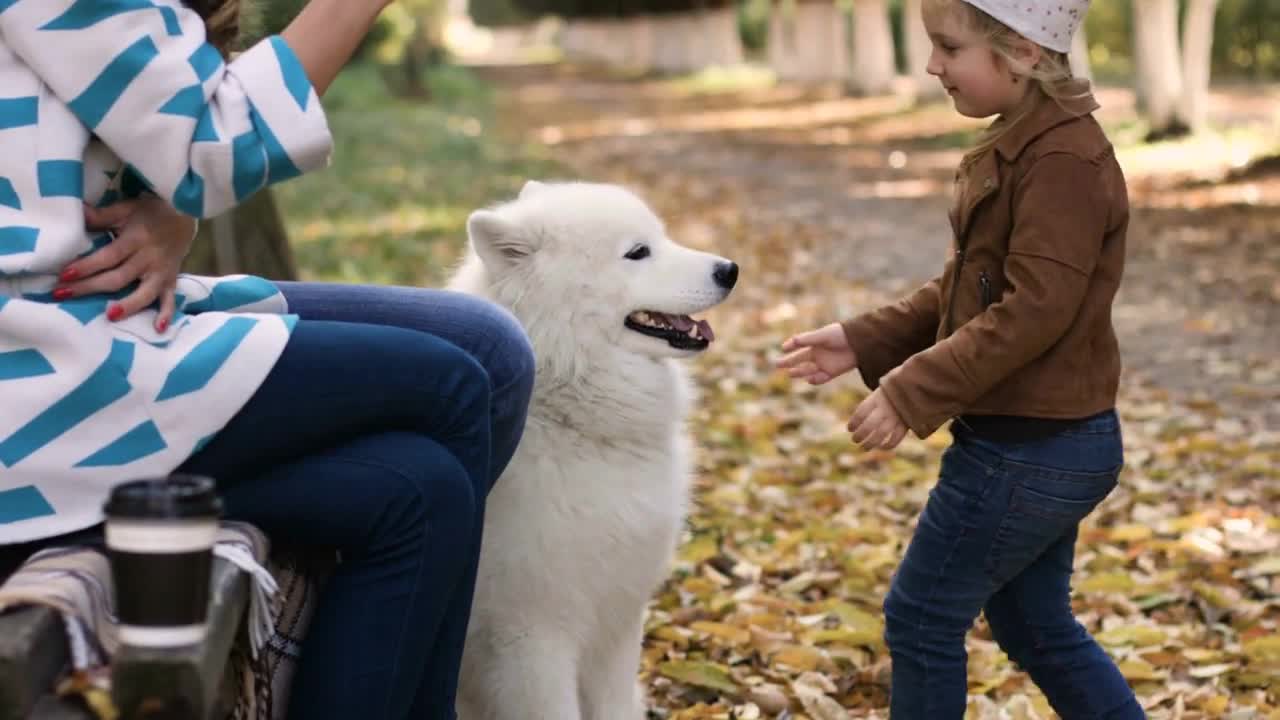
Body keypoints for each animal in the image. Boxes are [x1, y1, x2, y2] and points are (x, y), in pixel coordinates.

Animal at [448, 180, 737, 717]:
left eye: (661, 237)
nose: (730, 269)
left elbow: (615, 707)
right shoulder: (529, 641)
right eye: (637, 252)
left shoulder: (616, 621)